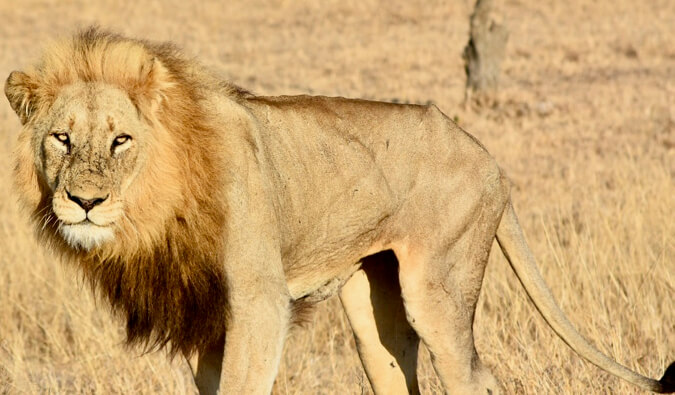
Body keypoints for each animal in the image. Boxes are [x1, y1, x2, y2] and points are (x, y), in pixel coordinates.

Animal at [5, 26, 675, 394]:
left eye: (121, 140)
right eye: (61, 139)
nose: (85, 202)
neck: (155, 211)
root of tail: (488, 155)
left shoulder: (258, 300)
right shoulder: (203, 317)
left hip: (438, 291)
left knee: (475, 377)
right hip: (372, 306)